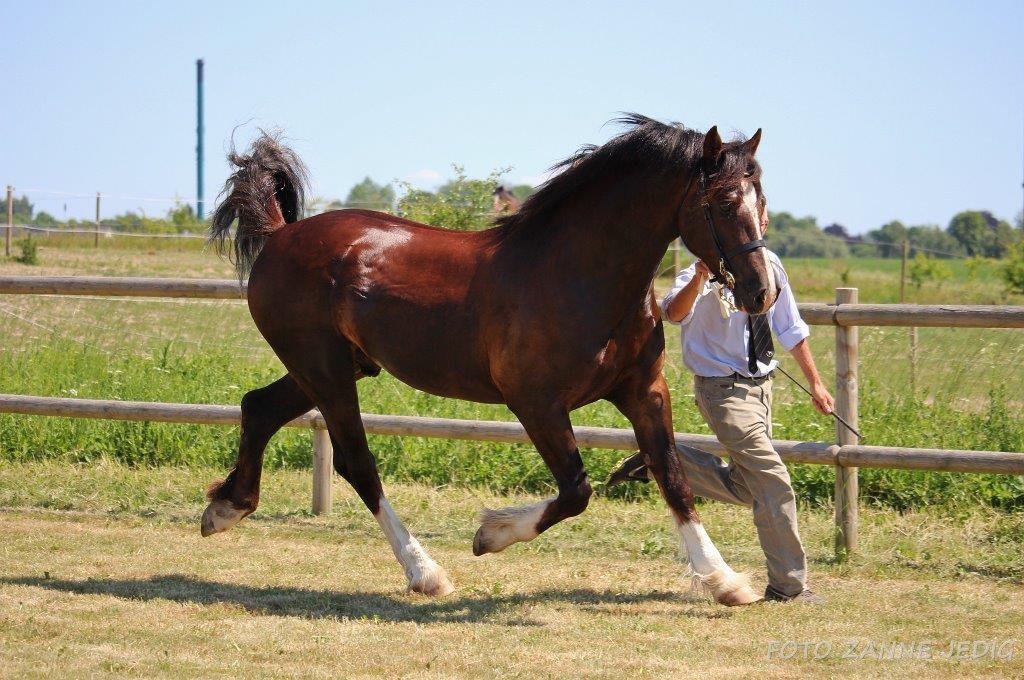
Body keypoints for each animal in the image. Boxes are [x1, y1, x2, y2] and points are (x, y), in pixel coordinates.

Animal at [201, 115, 774, 606]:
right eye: (724, 202)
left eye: (763, 199)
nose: (760, 292)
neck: (579, 276)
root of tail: (281, 235)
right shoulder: (536, 403)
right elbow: (576, 490)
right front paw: (490, 533)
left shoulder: (645, 393)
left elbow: (671, 475)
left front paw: (724, 580)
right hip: (325, 371)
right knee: (356, 463)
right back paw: (425, 572)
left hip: (334, 368)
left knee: (258, 408)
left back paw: (226, 507)